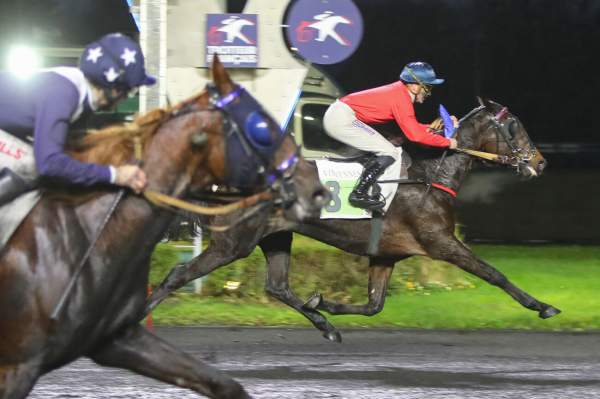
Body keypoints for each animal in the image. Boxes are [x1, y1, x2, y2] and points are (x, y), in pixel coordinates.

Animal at [148, 101, 560, 344]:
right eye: (514, 127)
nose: (540, 162)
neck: (430, 177)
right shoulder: (440, 242)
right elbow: (495, 274)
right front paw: (542, 306)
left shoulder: (386, 255)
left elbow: (374, 305)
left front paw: (326, 303)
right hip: (234, 242)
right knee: (178, 275)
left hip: (276, 236)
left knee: (277, 286)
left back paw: (326, 326)